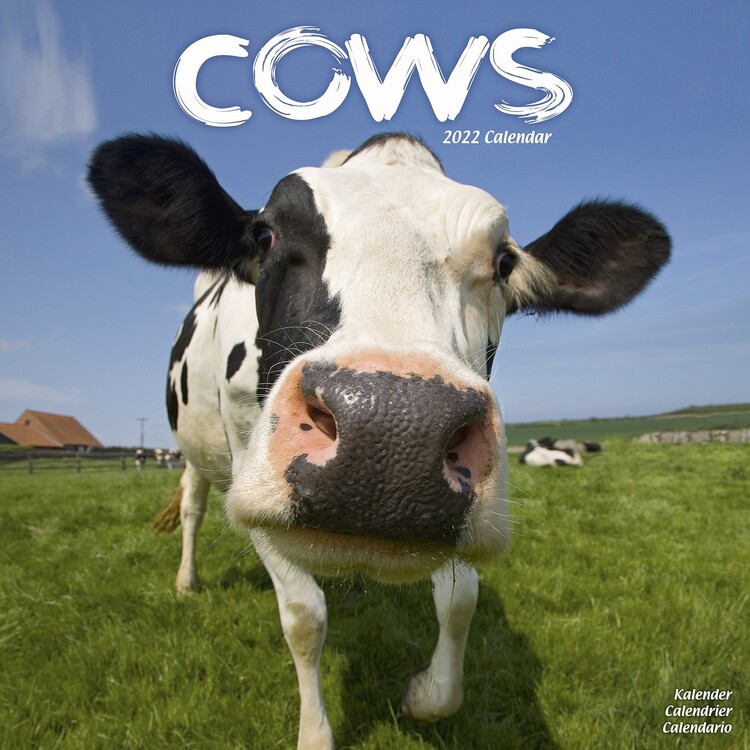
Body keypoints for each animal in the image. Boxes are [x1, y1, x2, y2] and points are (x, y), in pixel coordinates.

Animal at [88, 132, 670, 749]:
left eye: (505, 262)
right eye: (266, 236)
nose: (392, 430)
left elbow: (461, 601)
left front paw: (423, 695)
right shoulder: (252, 476)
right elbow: (304, 615)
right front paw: (315, 734)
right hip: (199, 452)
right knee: (193, 508)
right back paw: (186, 582)